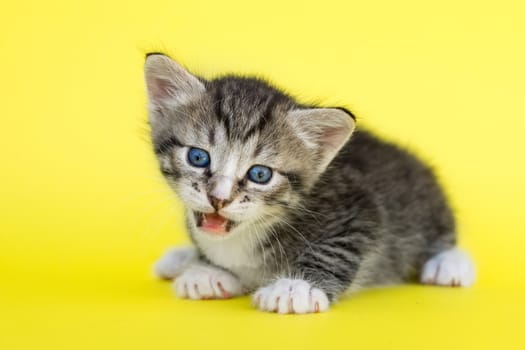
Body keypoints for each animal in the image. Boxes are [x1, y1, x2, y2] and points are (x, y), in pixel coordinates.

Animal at [144, 52, 474, 314]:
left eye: (260, 174)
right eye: (198, 157)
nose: (219, 199)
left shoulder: (360, 208)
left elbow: (334, 248)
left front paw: (296, 288)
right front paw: (208, 272)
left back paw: (449, 264)